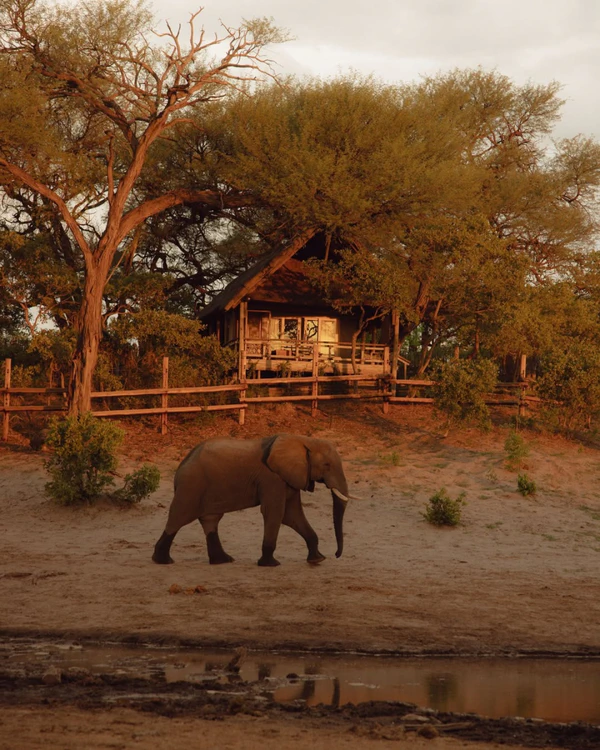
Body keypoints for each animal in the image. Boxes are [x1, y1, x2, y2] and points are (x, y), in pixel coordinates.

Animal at [152, 433, 354, 567]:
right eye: (327, 465)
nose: (336, 555)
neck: (304, 440)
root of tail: (181, 466)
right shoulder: (272, 479)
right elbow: (275, 513)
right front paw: (270, 564)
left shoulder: (289, 478)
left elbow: (292, 515)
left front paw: (318, 559)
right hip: (191, 486)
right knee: (178, 517)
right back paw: (162, 561)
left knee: (210, 520)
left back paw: (223, 561)